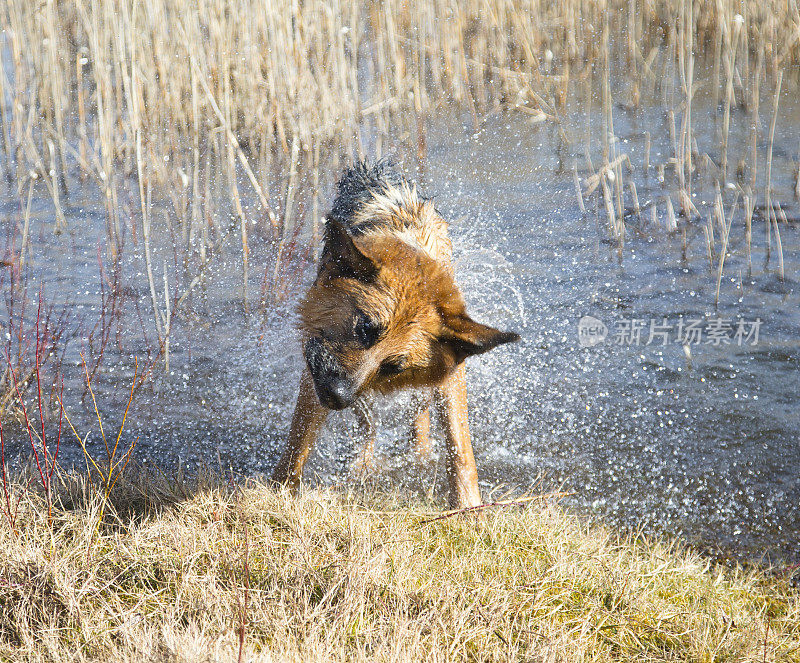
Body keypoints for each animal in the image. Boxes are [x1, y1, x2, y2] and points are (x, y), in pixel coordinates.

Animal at [272, 161, 520, 508]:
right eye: (365, 327)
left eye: (394, 366)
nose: (338, 398)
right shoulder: (318, 362)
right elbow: (300, 439)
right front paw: (280, 489)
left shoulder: (449, 373)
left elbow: (459, 445)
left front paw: (467, 504)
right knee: (369, 426)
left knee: (417, 419)